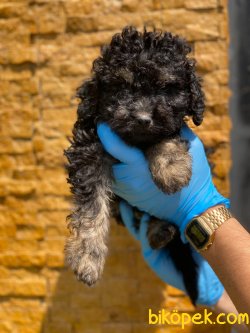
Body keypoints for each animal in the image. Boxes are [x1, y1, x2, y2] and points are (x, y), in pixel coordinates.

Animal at [65, 26, 205, 304]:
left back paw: (160, 230)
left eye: (165, 88)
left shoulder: (166, 125)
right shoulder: (89, 152)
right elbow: (92, 208)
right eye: (121, 88)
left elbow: (167, 133)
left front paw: (171, 167)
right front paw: (87, 257)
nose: (142, 118)